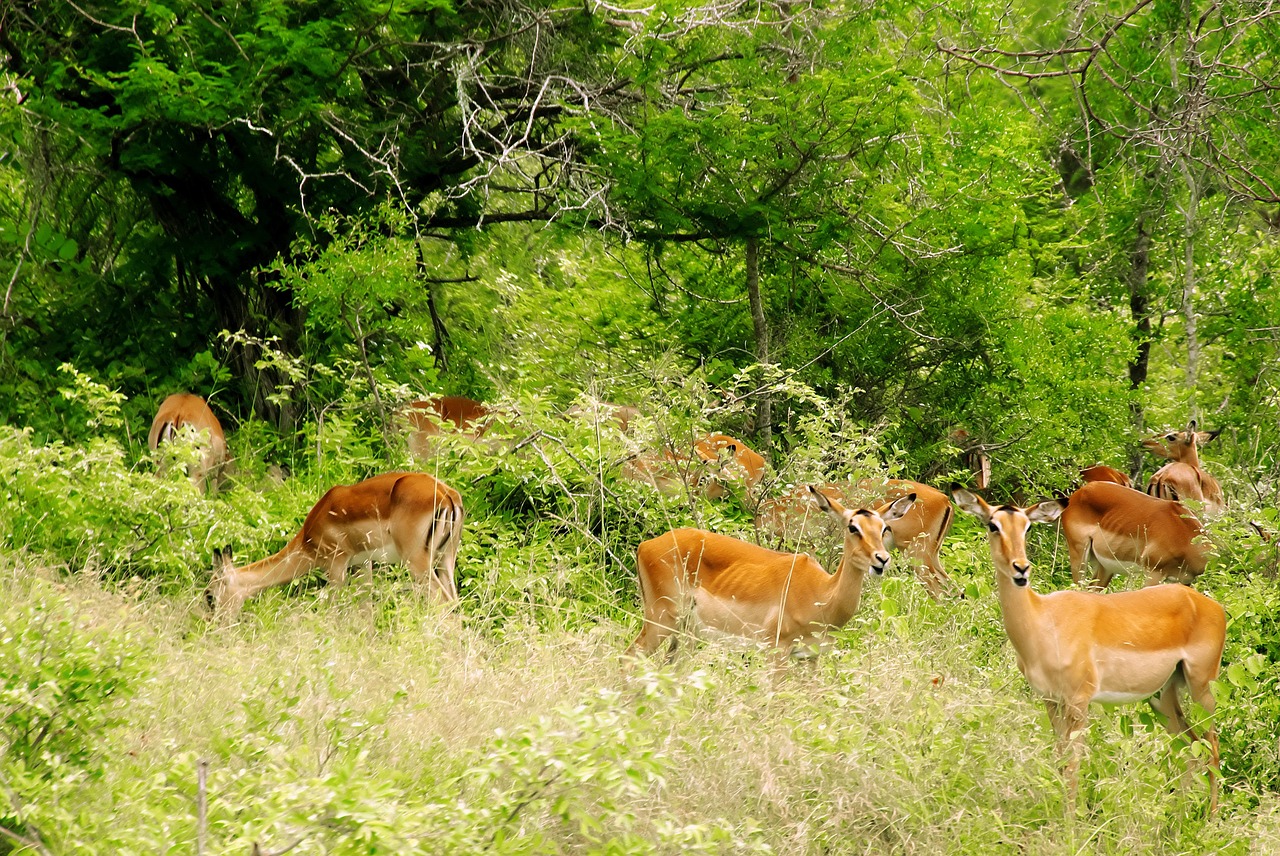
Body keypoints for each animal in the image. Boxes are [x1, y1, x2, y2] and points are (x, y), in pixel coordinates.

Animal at [207, 473, 468, 614]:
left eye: (209, 595)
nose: (214, 627)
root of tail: (446, 495)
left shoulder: (336, 566)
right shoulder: (363, 564)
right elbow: (366, 610)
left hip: (418, 562)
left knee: (444, 603)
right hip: (446, 559)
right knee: (455, 602)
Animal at [627, 486, 911, 655]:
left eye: (884, 528)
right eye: (853, 527)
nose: (882, 559)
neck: (821, 594)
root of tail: (645, 546)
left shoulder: (810, 656)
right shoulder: (778, 650)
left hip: (685, 634)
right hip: (661, 619)